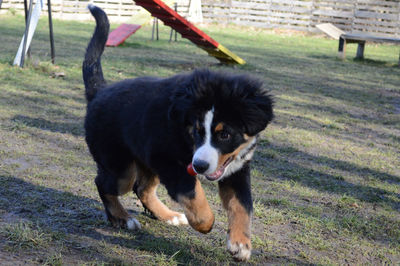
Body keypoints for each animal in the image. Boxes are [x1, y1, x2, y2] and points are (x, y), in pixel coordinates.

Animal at [83, 5, 274, 260]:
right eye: (197, 131)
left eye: (225, 134)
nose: (200, 166)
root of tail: (100, 91)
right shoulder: (166, 158)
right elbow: (192, 191)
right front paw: (204, 222)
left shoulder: (236, 168)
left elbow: (242, 205)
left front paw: (240, 244)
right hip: (121, 167)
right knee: (105, 183)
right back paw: (122, 218)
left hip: (145, 161)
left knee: (142, 189)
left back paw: (168, 215)